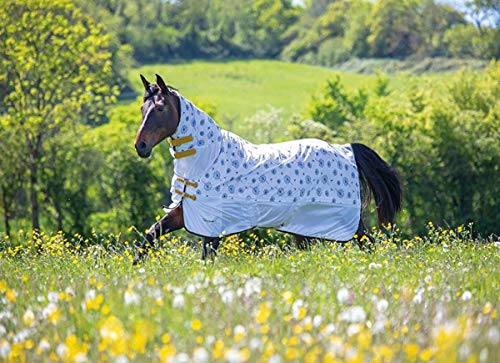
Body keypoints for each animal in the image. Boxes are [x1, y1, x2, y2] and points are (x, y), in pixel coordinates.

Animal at [133, 74, 402, 266]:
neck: (208, 157)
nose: (140, 146)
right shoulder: (186, 213)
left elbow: (207, 255)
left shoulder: (213, 221)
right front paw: (136, 268)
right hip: (304, 225)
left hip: (341, 219)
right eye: (142, 109)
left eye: (159, 108)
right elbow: (152, 233)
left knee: (367, 242)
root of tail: (345, 149)